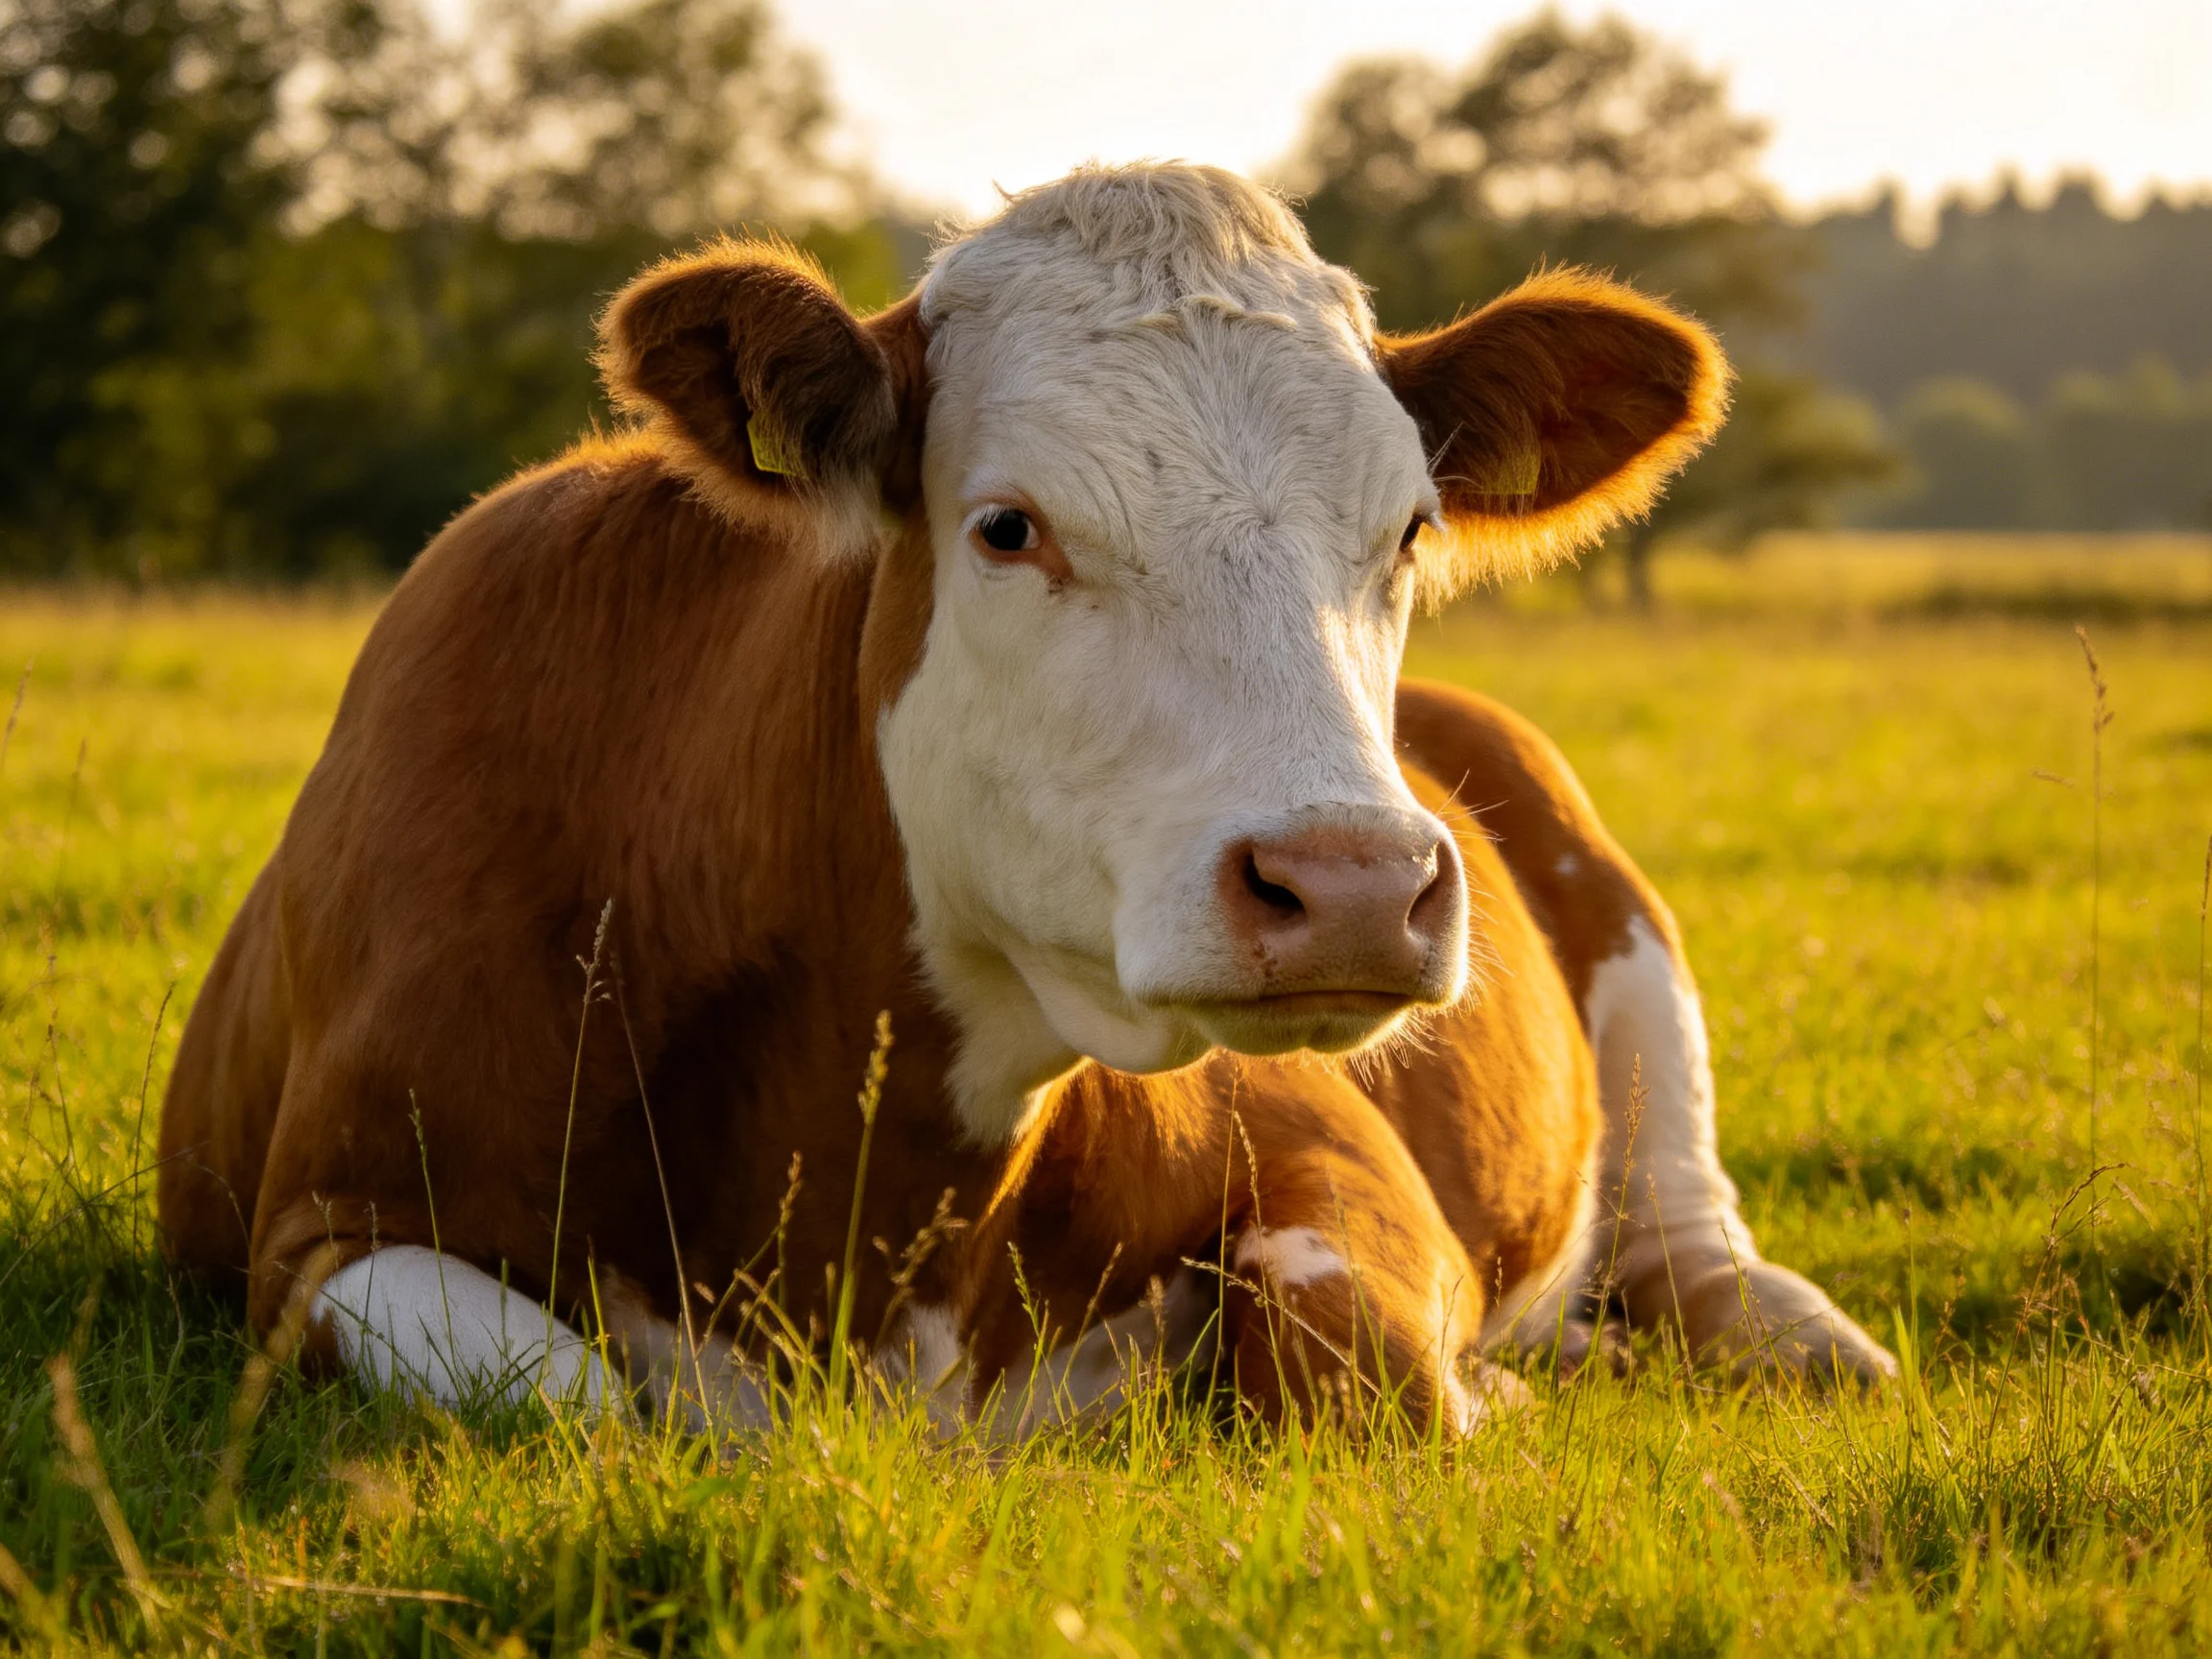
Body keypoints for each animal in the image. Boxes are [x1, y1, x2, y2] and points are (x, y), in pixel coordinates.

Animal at [156, 163, 1894, 1436]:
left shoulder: (1327, 1147)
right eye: (1006, 526)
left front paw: (1496, 1389)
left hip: (1611, 908)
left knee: (1680, 1205)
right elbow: (578, 1401)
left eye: (1406, 528)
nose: (1348, 882)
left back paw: (1778, 1334)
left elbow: (1350, 1359)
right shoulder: (312, 1237)